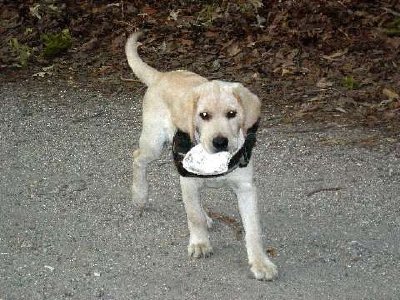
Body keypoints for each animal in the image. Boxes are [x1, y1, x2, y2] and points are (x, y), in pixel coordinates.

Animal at [126, 31, 276, 280]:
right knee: (137, 158)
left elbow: (254, 229)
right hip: (153, 143)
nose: (220, 142)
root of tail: (162, 76)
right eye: (203, 115)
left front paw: (260, 263)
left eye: (232, 114)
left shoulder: (246, 188)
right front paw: (200, 243)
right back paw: (139, 194)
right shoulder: (187, 179)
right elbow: (193, 215)